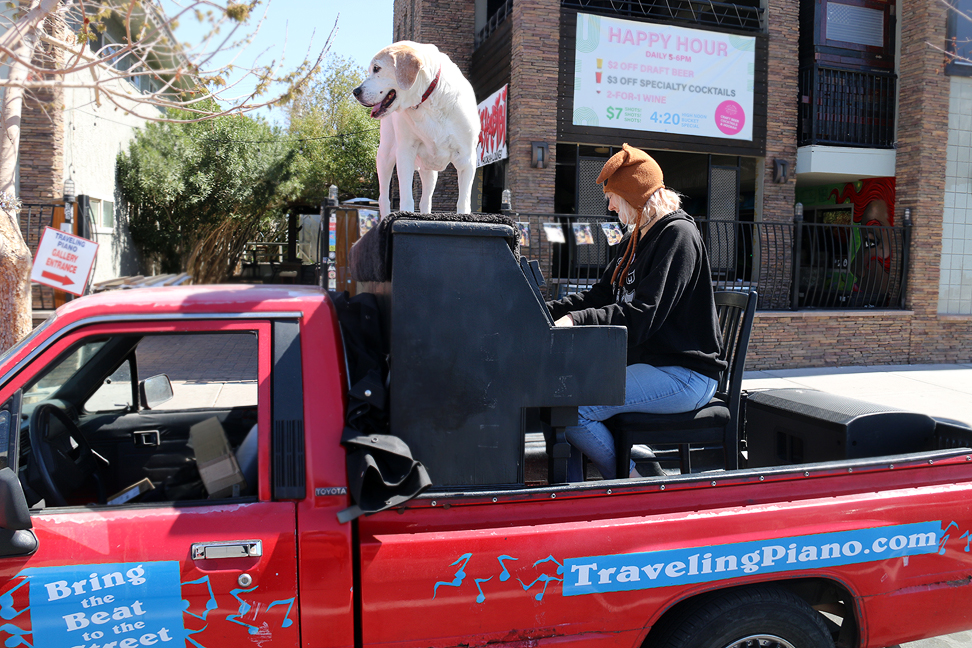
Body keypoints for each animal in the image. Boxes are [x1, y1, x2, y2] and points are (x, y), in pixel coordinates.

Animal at [353, 41, 480, 218]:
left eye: (377, 68)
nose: (356, 91)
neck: (428, 100)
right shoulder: (405, 152)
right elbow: (406, 198)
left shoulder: (466, 158)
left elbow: (463, 201)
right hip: (384, 157)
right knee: (383, 198)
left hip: (430, 172)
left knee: (425, 200)